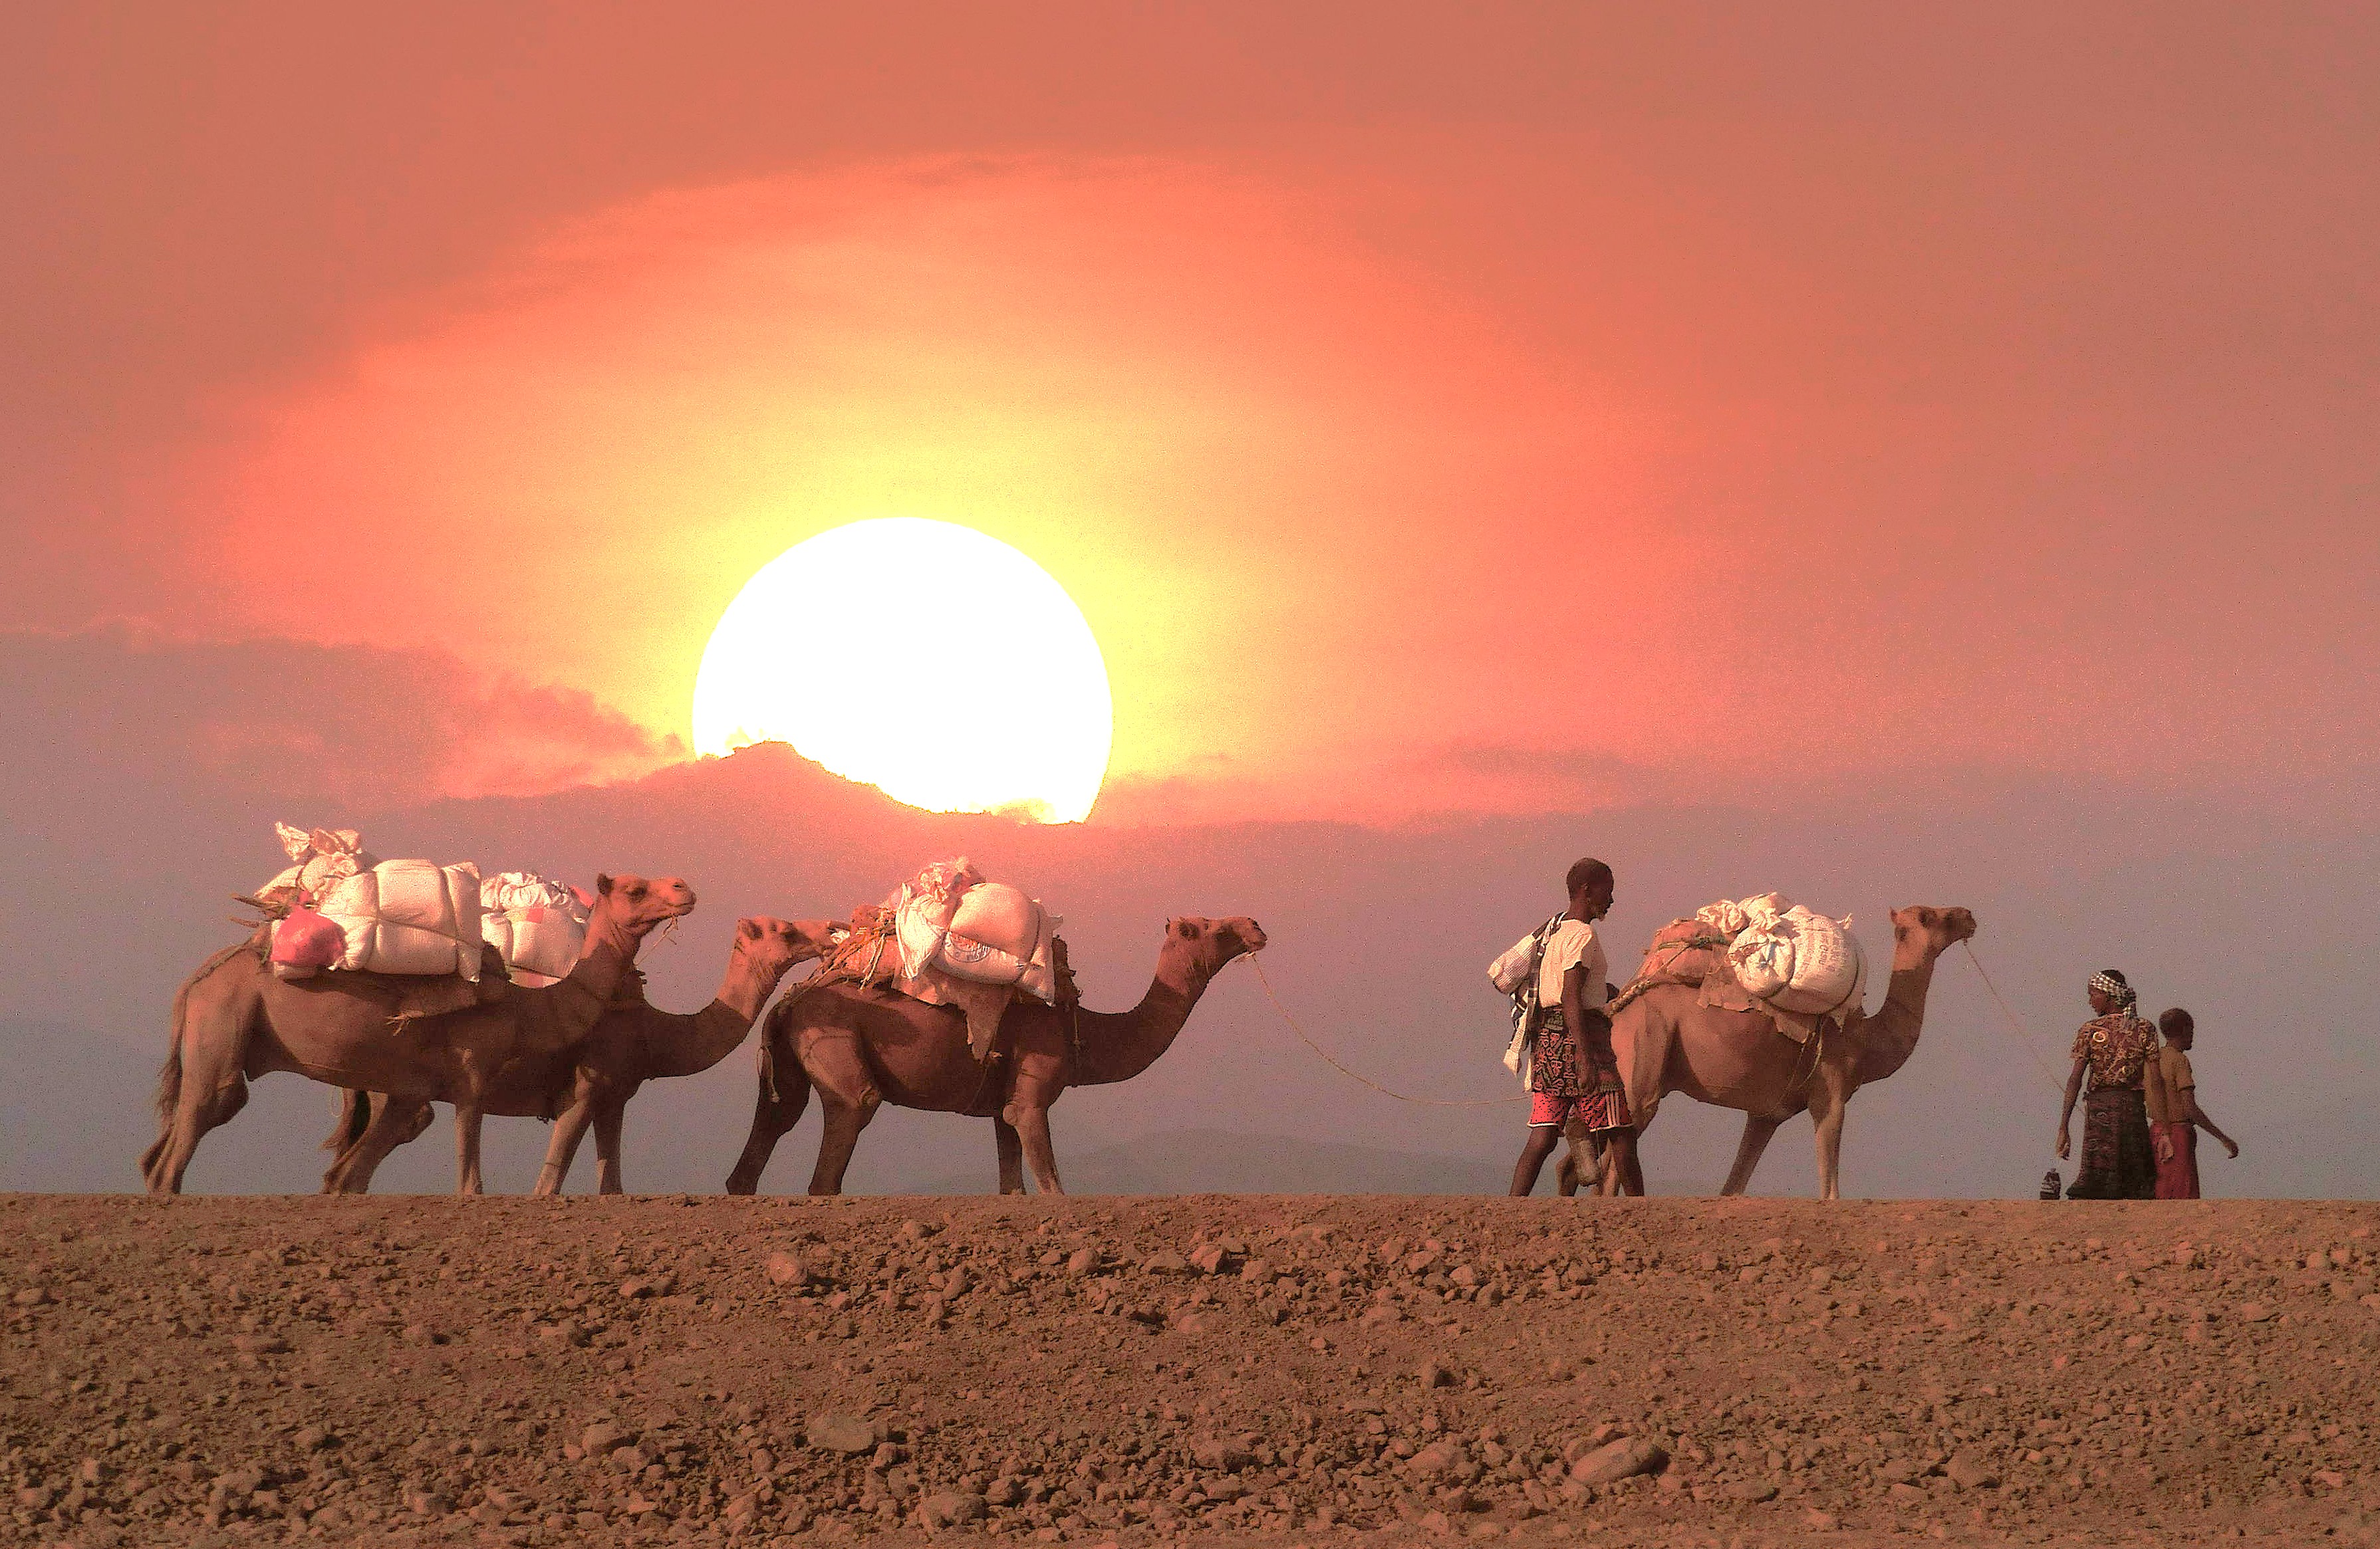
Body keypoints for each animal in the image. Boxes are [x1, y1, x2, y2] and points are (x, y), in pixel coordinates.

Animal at [140, 873, 696, 1195]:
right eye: (635, 889)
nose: (684, 890)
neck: (523, 1006)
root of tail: (198, 978)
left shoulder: (409, 1087)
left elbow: (356, 1174)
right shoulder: (473, 1069)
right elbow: (468, 1174)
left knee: (181, 1134)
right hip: (224, 1019)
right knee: (207, 1111)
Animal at [318, 917, 840, 1195]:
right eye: (784, 931)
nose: (830, 930)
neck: (656, 1033)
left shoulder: (617, 1097)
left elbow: (612, 1184)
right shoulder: (588, 1086)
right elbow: (550, 1181)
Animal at [724, 915, 1266, 1196]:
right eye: (1211, 929)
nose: (1255, 926)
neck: (1083, 1030)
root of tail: (791, 999)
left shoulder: (1003, 1102)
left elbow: (1013, 1179)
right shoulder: (1034, 1090)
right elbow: (1050, 1184)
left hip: (791, 1056)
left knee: (775, 1118)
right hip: (834, 1041)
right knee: (851, 1112)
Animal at [1562, 905, 1977, 1200]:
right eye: (1933, 916)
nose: (1968, 916)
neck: (1864, 1040)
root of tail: (1615, 1009)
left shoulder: (1767, 1113)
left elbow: (1732, 1188)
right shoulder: (1831, 1091)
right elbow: (1830, 1192)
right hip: (1645, 1055)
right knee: (1614, 1166)